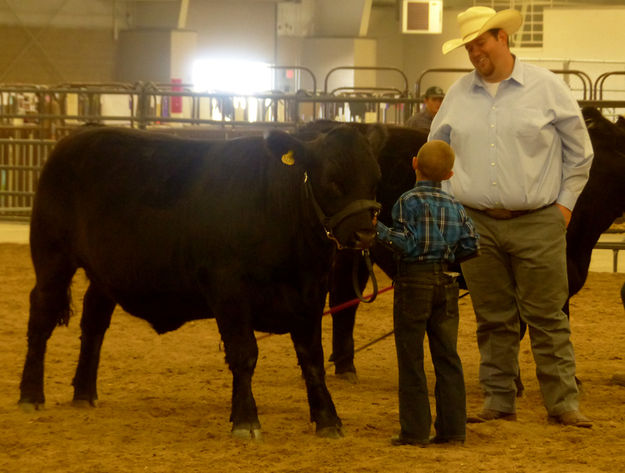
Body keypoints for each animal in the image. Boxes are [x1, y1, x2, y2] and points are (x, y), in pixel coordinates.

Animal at [17, 123, 382, 436]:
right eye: (332, 179)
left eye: (375, 178)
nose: (365, 234)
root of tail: (80, 134)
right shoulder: (229, 289)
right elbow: (244, 354)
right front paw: (246, 421)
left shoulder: (310, 294)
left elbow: (312, 359)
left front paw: (328, 419)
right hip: (52, 256)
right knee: (41, 317)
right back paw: (31, 395)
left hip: (103, 273)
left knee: (93, 322)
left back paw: (84, 393)